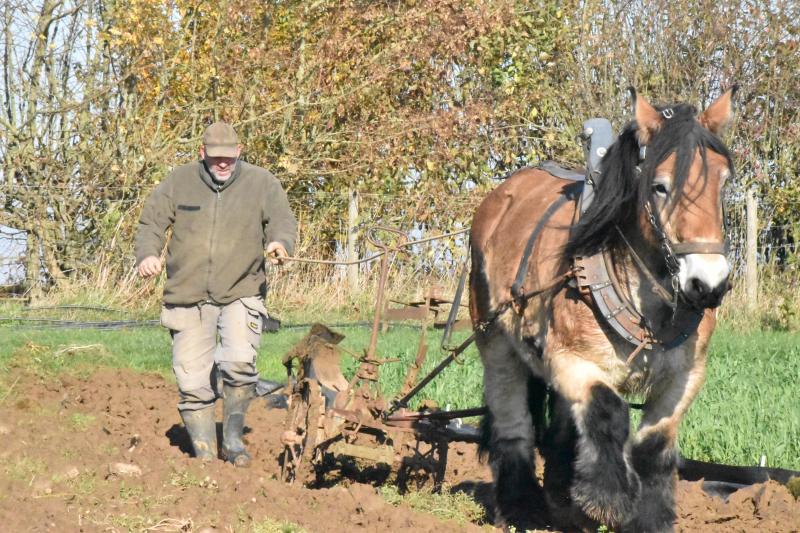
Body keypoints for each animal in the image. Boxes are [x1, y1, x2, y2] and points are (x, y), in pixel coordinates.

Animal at [468, 89, 736, 528]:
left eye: (722, 183)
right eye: (659, 187)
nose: (708, 284)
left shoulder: (687, 375)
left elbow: (655, 441)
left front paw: (650, 518)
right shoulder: (571, 359)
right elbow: (609, 409)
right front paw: (607, 499)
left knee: (563, 426)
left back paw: (562, 497)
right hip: (495, 342)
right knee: (513, 422)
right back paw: (521, 506)